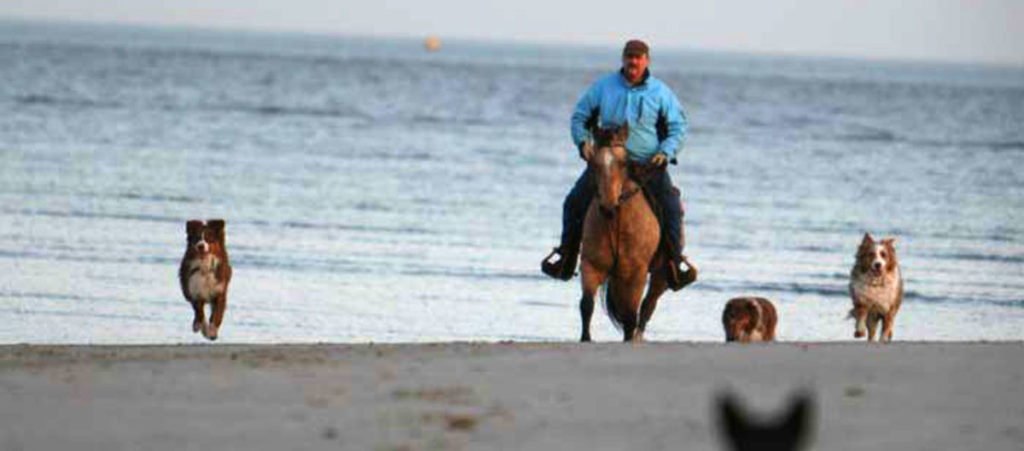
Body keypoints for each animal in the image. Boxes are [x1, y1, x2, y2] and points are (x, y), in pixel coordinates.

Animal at [581, 124, 692, 342]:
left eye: (624, 163)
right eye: (594, 163)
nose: (608, 206)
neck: (616, 222)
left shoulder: (635, 273)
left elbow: (632, 315)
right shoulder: (591, 265)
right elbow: (586, 306)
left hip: (660, 275)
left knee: (648, 306)